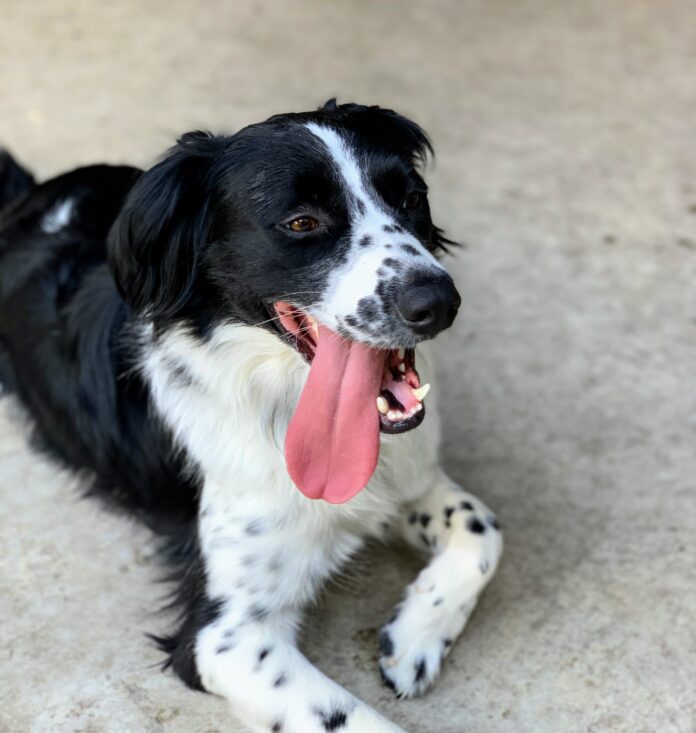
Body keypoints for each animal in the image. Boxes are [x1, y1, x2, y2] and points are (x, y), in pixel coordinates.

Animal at [0, 101, 500, 732]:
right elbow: (354, 719)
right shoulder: (224, 638)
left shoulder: (404, 480)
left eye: (412, 197)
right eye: (302, 223)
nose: (437, 303)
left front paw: (414, 637)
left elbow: (485, 530)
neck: (281, 404)